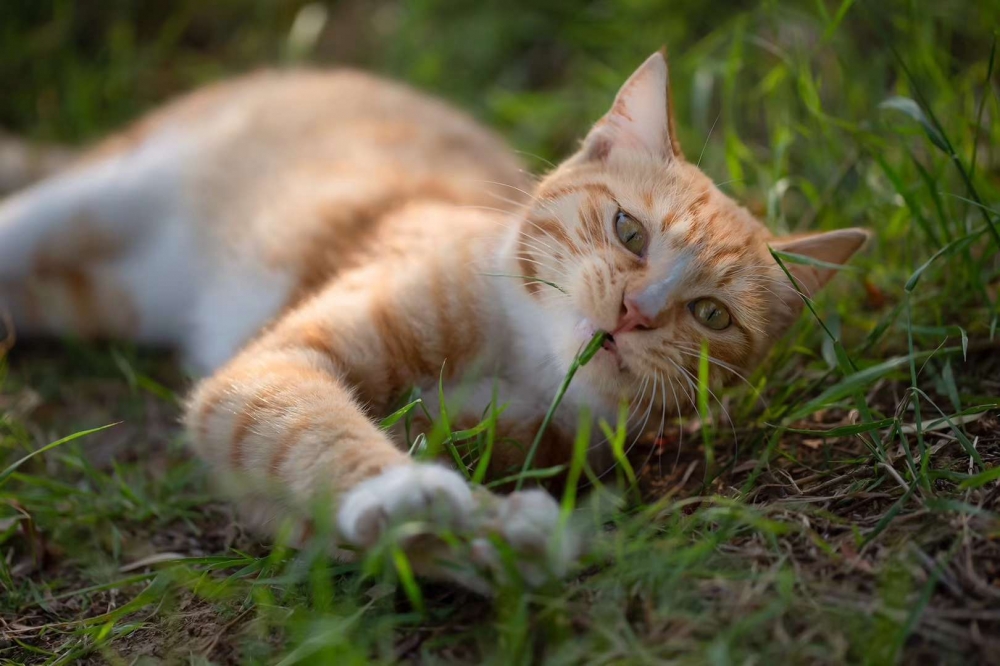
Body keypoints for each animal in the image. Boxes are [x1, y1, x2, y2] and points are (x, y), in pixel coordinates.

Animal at [0, 50, 868, 580]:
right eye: (630, 230)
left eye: (711, 315)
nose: (636, 312)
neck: (527, 360)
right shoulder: (268, 372)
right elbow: (319, 430)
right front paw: (406, 490)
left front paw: (496, 536)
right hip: (102, 193)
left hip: (104, 297)